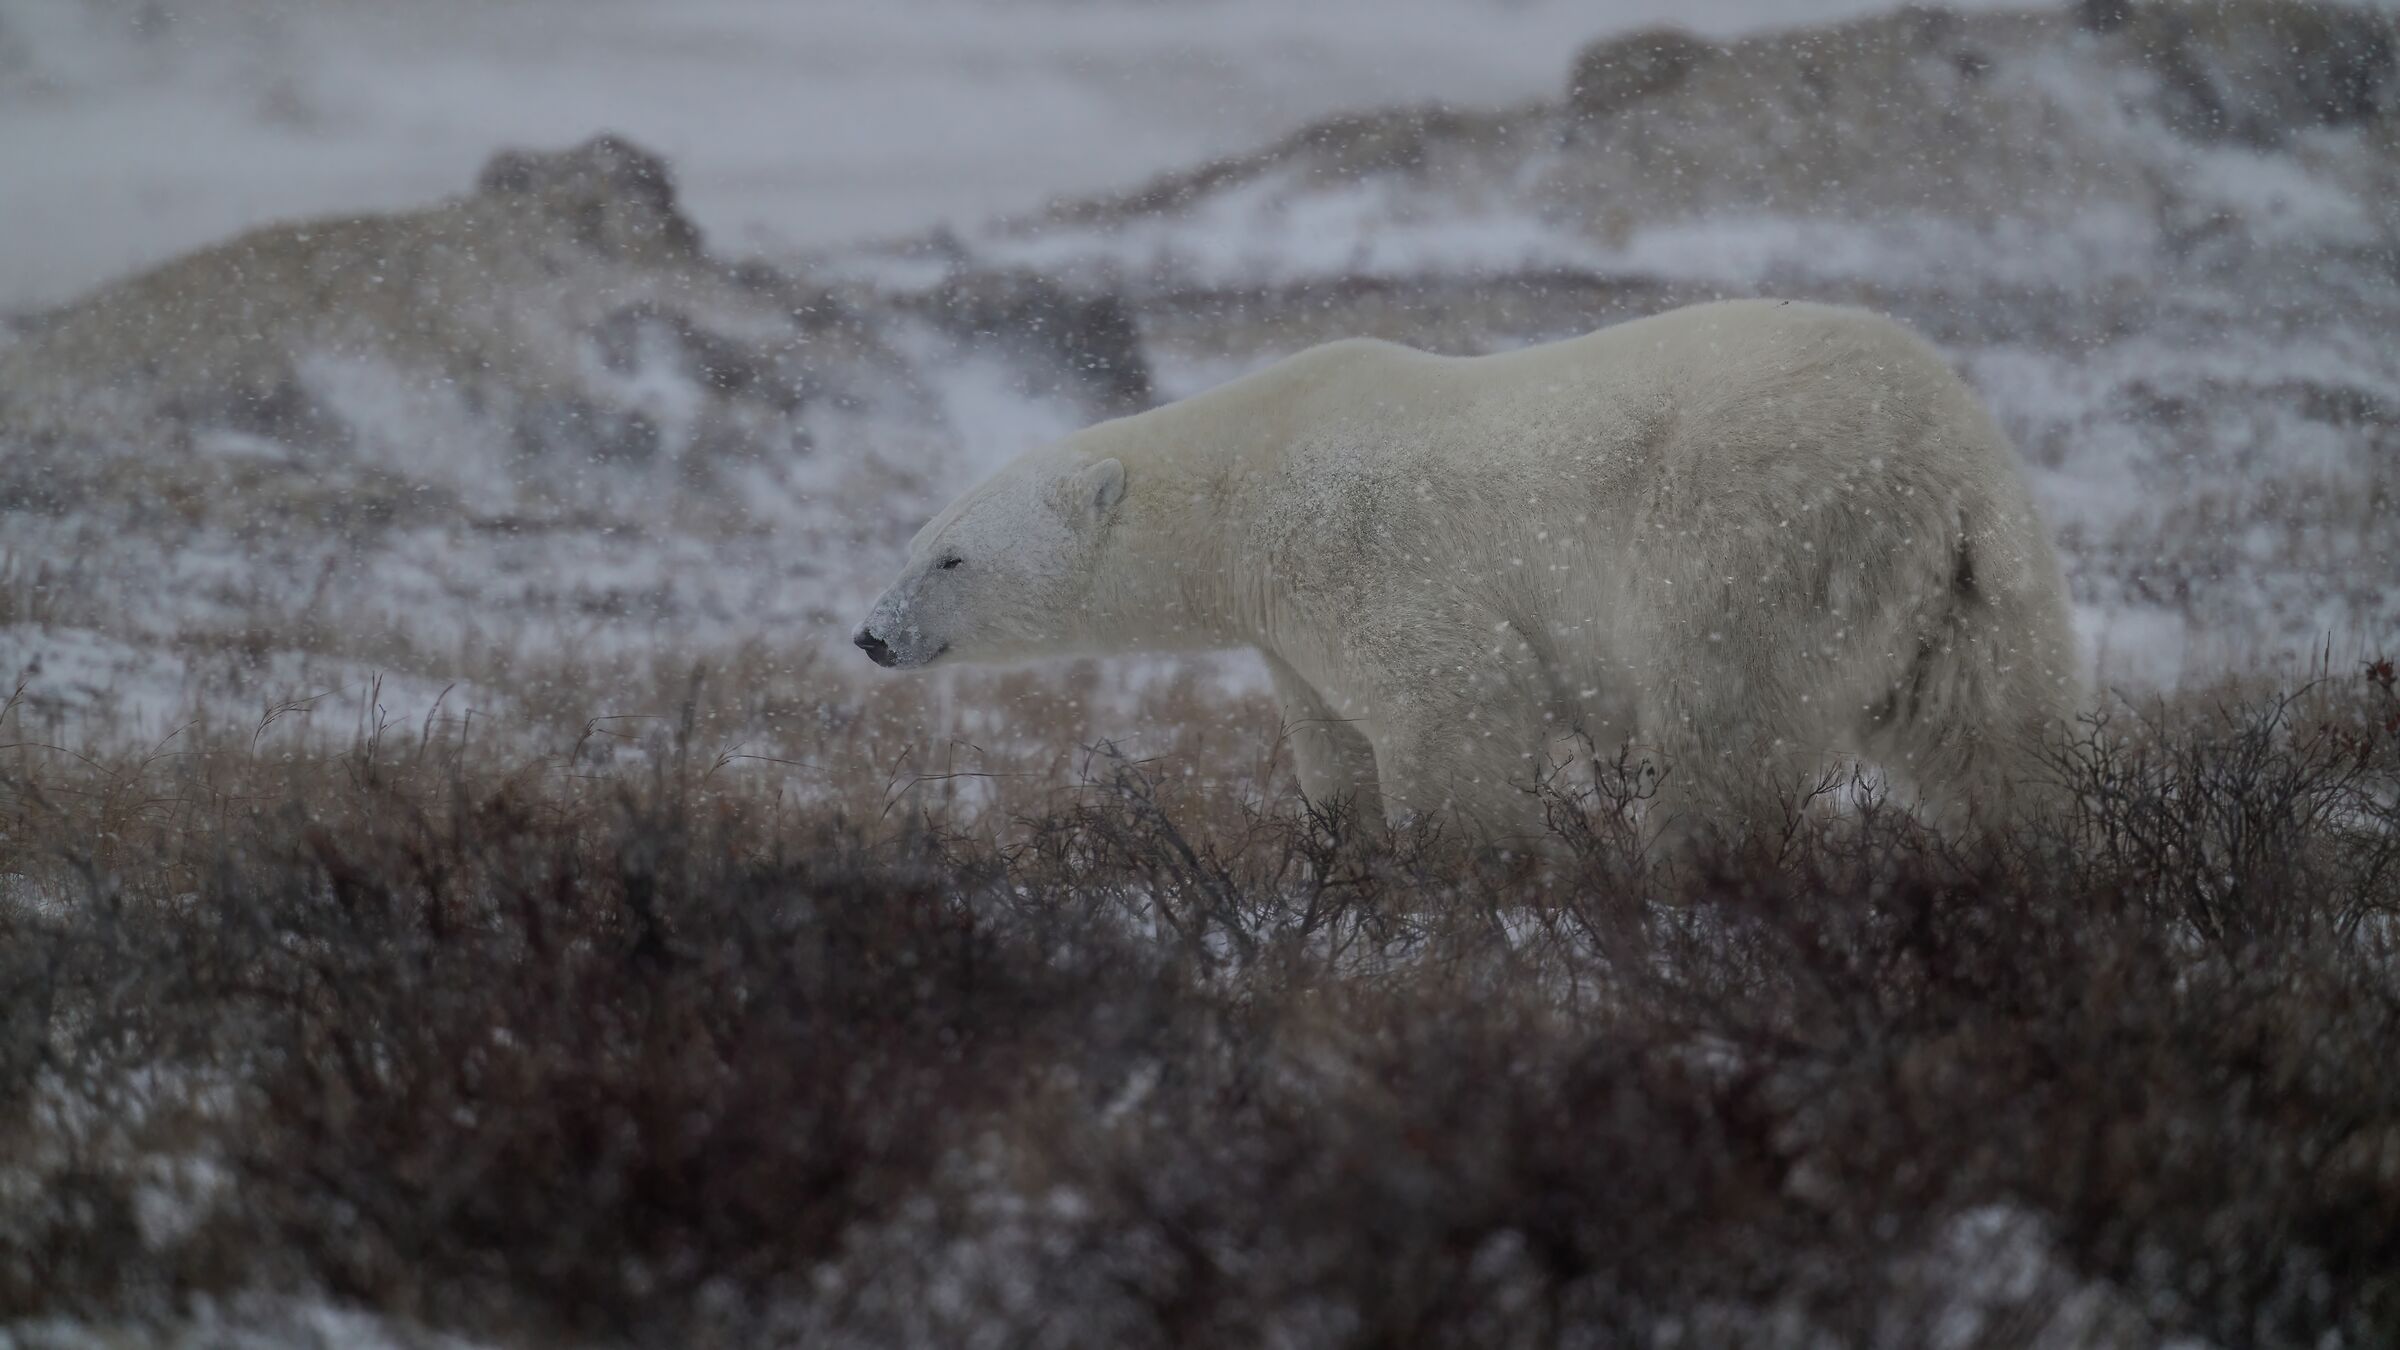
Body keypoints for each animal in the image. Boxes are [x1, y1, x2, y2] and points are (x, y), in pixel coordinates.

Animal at [853, 299, 2080, 847]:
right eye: (909, 544)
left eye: (950, 555)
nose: (871, 634)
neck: (1240, 478)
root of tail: (1946, 458)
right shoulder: (1285, 627)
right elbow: (1331, 741)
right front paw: (1342, 854)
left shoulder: (1348, 546)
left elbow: (1455, 698)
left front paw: (1467, 881)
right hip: (1974, 581)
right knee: (1993, 728)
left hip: (1760, 530)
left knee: (1723, 715)